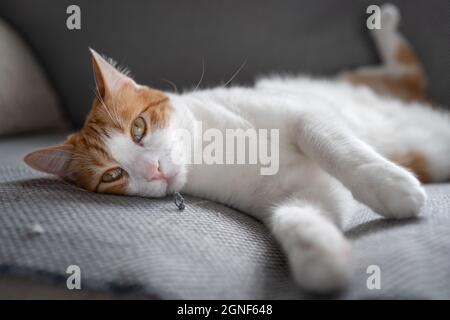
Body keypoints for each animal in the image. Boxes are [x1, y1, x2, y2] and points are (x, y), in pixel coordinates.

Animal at [23, 5, 450, 294]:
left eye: (138, 128)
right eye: (113, 174)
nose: (154, 169)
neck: (211, 156)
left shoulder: (300, 114)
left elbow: (332, 144)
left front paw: (390, 186)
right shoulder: (298, 195)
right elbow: (296, 218)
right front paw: (322, 261)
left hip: (371, 81)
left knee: (406, 66)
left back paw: (385, 23)